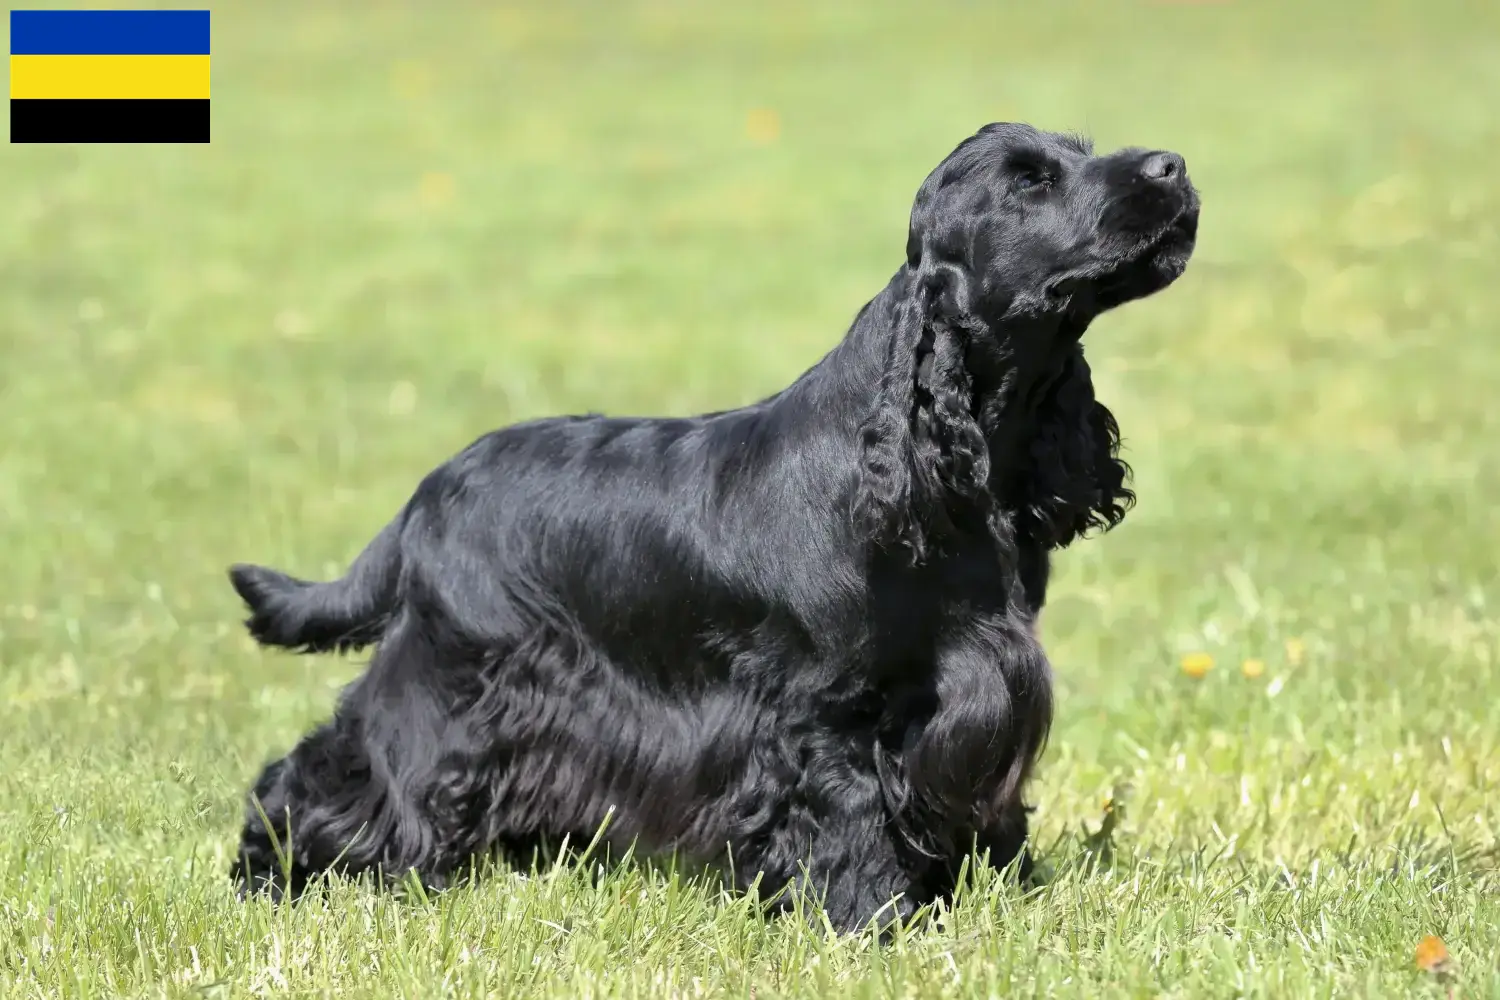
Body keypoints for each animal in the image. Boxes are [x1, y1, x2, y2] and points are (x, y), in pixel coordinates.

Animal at [231, 122, 1194, 929]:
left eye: (1083, 150)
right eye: (1029, 181)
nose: (1173, 166)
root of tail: (426, 495)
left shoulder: (986, 683)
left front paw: (1003, 892)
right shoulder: (828, 711)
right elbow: (848, 819)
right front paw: (872, 924)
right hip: (449, 679)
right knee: (335, 772)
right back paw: (275, 873)